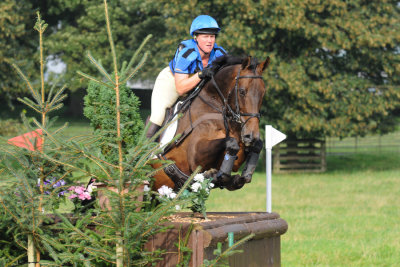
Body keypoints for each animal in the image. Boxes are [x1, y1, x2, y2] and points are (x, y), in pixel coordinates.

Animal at [152, 55, 270, 193]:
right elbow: (231, 143)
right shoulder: (195, 155)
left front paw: (239, 177)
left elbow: (256, 146)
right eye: (242, 91)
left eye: (263, 93)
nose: (251, 136)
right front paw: (217, 175)